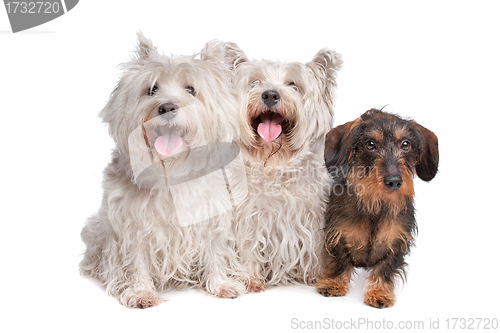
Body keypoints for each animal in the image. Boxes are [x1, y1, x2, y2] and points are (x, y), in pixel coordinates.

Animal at [80, 33, 250, 306]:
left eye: (191, 89)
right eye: (152, 89)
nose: (166, 107)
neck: (172, 169)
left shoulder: (212, 215)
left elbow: (215, 250)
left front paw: (222, 284)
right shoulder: (131, 222)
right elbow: (135, 259)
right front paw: (141, 292)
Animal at [227, 43, 344, 288]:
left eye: (293, 85)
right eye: (255, 82)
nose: (270, 94)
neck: (276, 164)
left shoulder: (314, 216)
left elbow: (316, 246)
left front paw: (318, 275)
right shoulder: (249, 215)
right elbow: (248, 245)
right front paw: (251, 279)